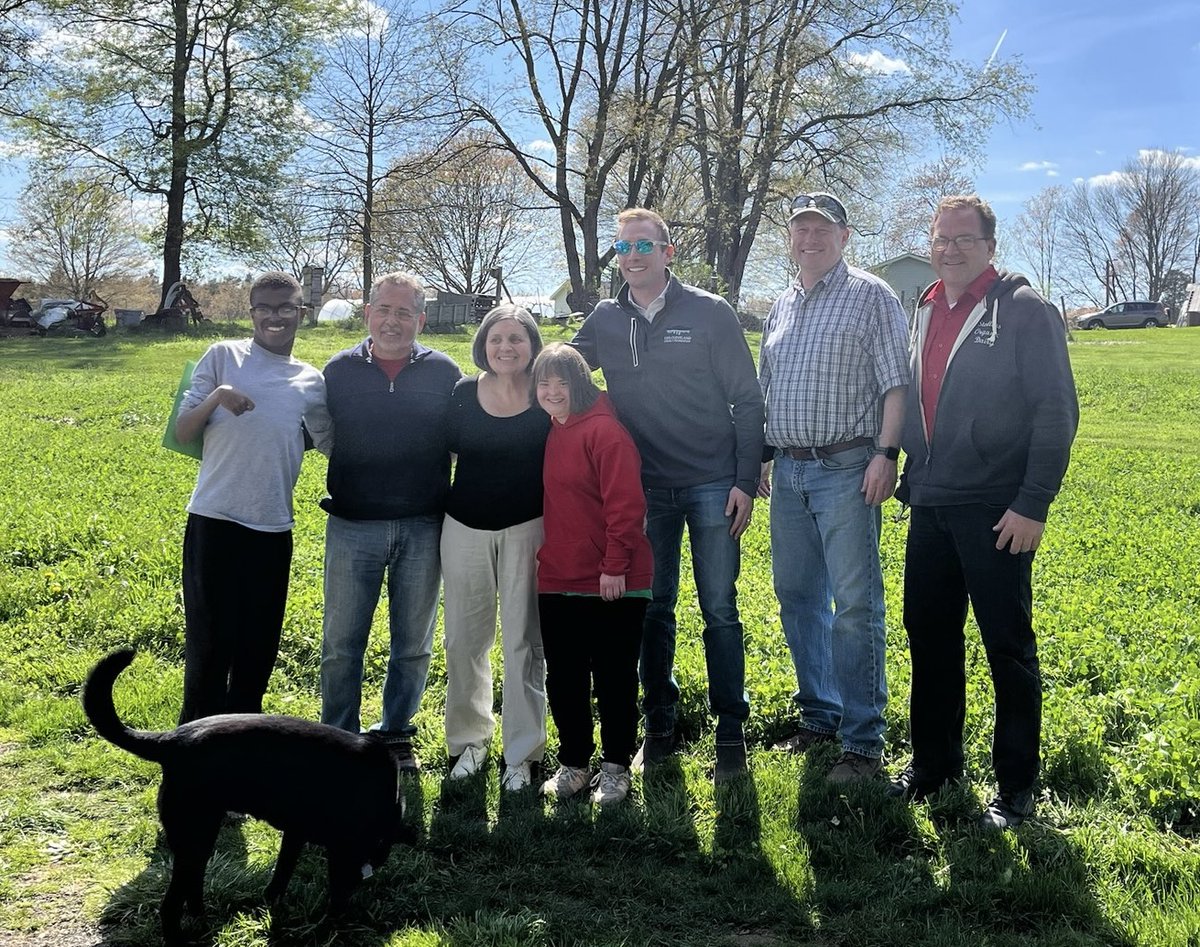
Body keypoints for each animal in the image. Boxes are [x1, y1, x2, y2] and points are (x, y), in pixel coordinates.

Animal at [83, 648, 412, 940]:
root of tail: (171, 740)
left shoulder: (296, 834)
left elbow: (282, 873)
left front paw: (273, 902)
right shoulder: (342, 852)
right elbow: (330, 890)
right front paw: (330, 924)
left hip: (201, 839)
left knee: (193, 887)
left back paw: (204, 923)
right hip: (195, 838)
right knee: (171, 904)